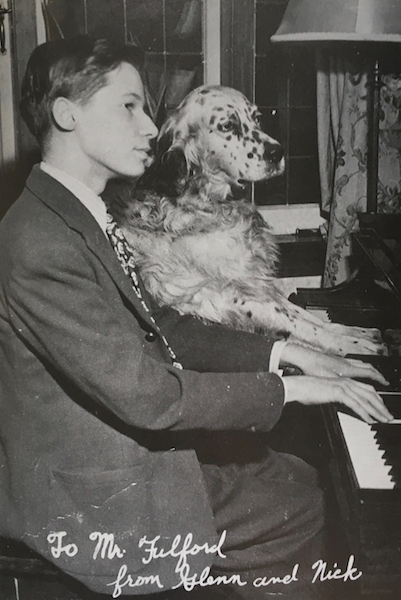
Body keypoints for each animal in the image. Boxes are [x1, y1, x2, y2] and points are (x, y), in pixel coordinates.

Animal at [108, 84, 384, 356]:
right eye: (227, 126)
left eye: (257, 118)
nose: (277, 152)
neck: (206, 204)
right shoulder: (230, 297)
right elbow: (304, 325)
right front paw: (356, 346)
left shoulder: (258, 284)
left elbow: (310, 317)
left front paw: (357, 332)